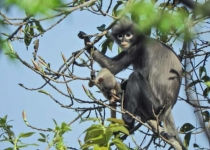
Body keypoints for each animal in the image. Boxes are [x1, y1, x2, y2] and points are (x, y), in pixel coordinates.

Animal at [78, 18, 183, 148]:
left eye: (128, 35)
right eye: (120, 35)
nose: (123, 40)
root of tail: (167, 108)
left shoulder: (140, 48)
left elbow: (138, 71)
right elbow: (113, 66)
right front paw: (86, 40)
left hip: (154, 106)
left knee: (135, 76)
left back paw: (128, 120)